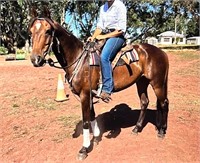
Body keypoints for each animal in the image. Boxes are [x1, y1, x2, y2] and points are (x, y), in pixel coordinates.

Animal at [28, 8, 169, 160]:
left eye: (48, 31)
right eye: (31, 32)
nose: (35, 59)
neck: (79, 59)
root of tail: (161, 52)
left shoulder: (84, 94)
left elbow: (85, 121)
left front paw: (84, 149)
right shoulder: (89, 93)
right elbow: (92, 115)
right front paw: (95, 138)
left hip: (157, 83)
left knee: (163, 103)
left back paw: (162, 131)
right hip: (141, 82)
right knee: (145, 102)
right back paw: (137, 128)